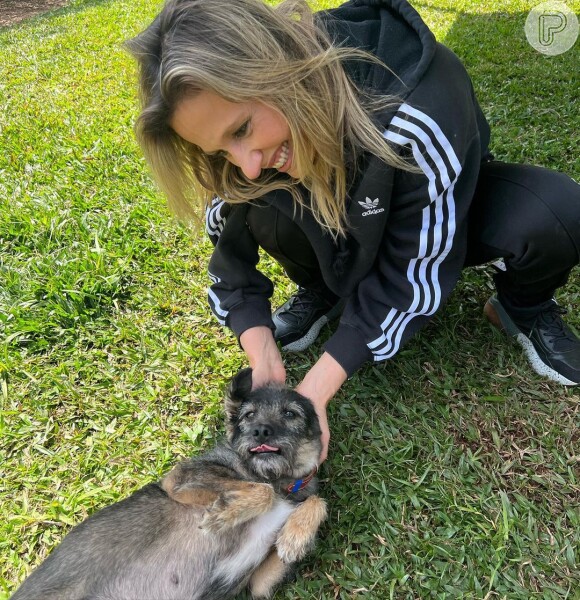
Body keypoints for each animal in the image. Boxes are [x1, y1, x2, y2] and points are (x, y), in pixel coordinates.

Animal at [12, 368, 326, 600]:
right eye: (249, 415)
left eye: (290, 413)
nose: (260, 431)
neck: (277, 479)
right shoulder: (180, 480)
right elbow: (262, 493)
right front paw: (225, 515)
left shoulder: (259, 585)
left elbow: (316, 500)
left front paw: (296, 537)